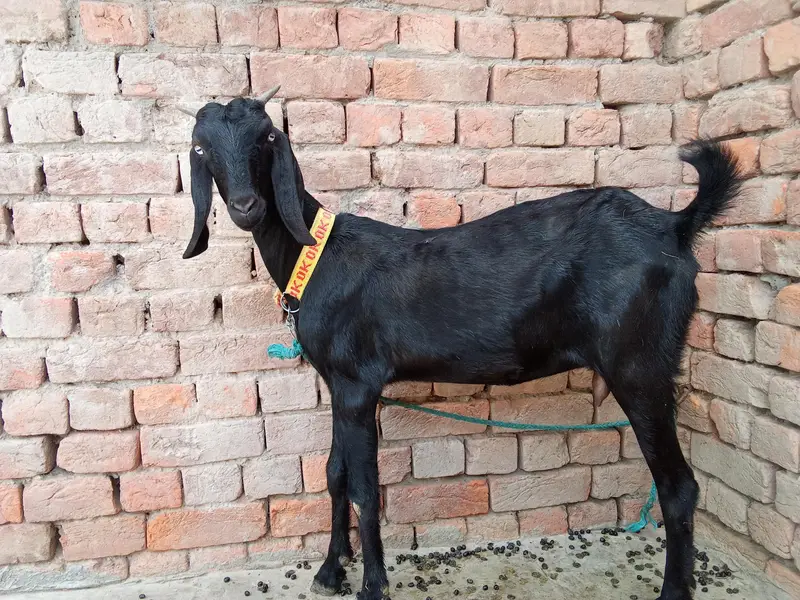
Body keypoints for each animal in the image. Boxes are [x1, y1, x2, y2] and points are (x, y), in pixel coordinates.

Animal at [179, 90, 740, 600]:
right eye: (202, 148)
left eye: (265, 139)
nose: (247, 207)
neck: (318, 257)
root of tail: (673, 227)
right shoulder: (339, 384)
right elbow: (335, 474)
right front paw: (329, 572)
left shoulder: (359, 384)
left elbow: (364, 487)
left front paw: (373, 587)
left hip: (639, 364)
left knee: (679, 488)